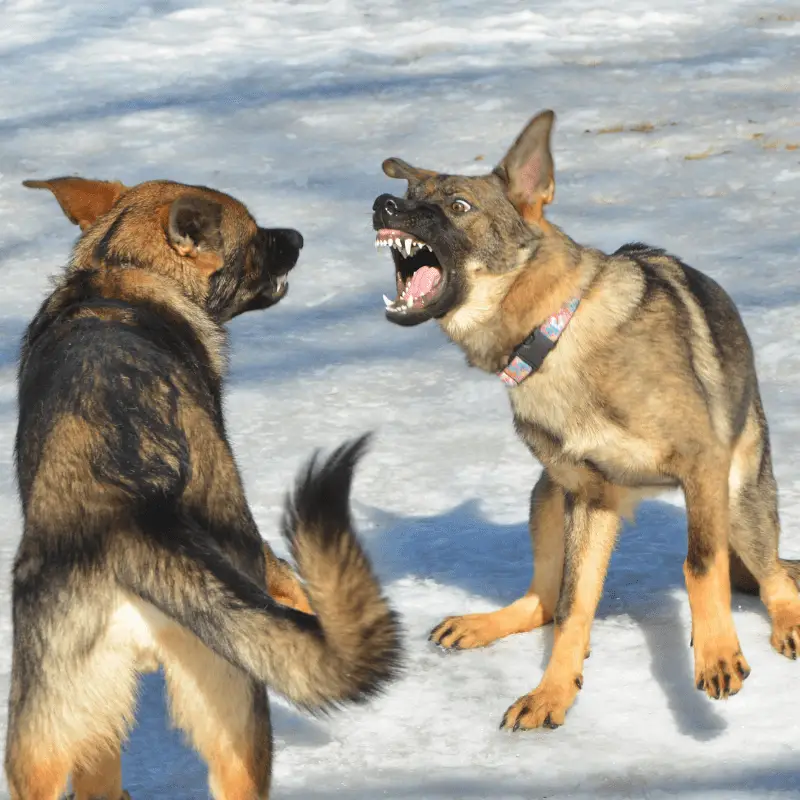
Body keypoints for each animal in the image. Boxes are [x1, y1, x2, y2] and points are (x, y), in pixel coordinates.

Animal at [7, 177, 400, 800]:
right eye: (255, 235)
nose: (297, 237)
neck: (118, 266)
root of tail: (129, 516)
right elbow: (288, 580)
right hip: (236, 709)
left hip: (49, 733)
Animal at [374, 111, 800, 732]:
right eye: (409, 196)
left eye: (457, 205)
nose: (381, 203)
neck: (557, 333)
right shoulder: (590, 497)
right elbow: (574, 606)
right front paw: (552, 692)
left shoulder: (703, 466)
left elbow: (701, 564)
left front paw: (718, 653)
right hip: (548, 496)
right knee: (545, 602)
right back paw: (487, 623)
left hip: (741, 502)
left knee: (774, 578)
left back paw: (787, 622)